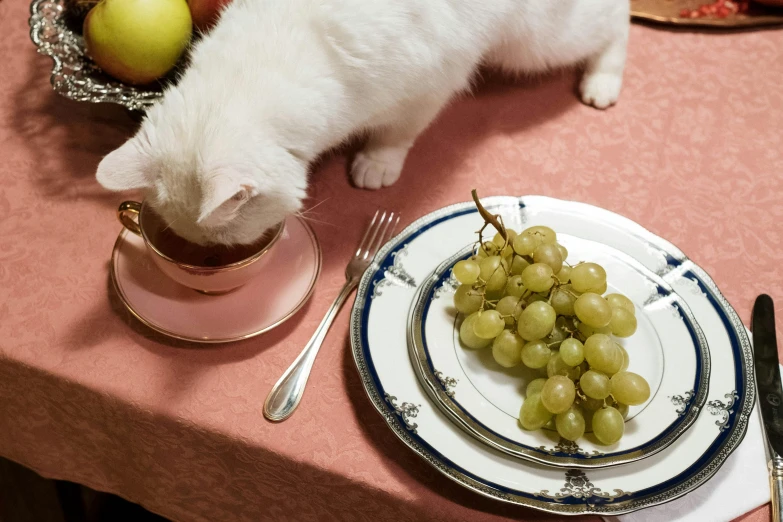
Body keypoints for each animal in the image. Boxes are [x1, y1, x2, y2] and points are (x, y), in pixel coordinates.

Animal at [96, 0, 632, 246]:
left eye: (224, 240)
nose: (211, 257)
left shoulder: (431, 85)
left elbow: (398, 134)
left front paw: (377, 163)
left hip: (538, 42)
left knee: (617, 20)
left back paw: (602, 82)